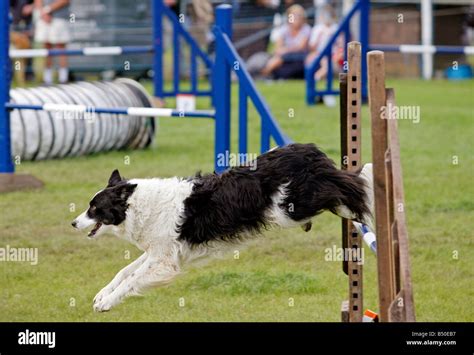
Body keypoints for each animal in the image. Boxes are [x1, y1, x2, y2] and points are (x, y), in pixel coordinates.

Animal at [71, 143, 374, 312]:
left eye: (94, 208)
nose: (73, 222)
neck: (139, 205)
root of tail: (307, 150)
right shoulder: (160, 253)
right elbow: (124, 272)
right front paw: (101, 295)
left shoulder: (165, 262)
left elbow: (133, 279)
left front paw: (106, 304)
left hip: (288, 208)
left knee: (347, 186)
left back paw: (363, 200)